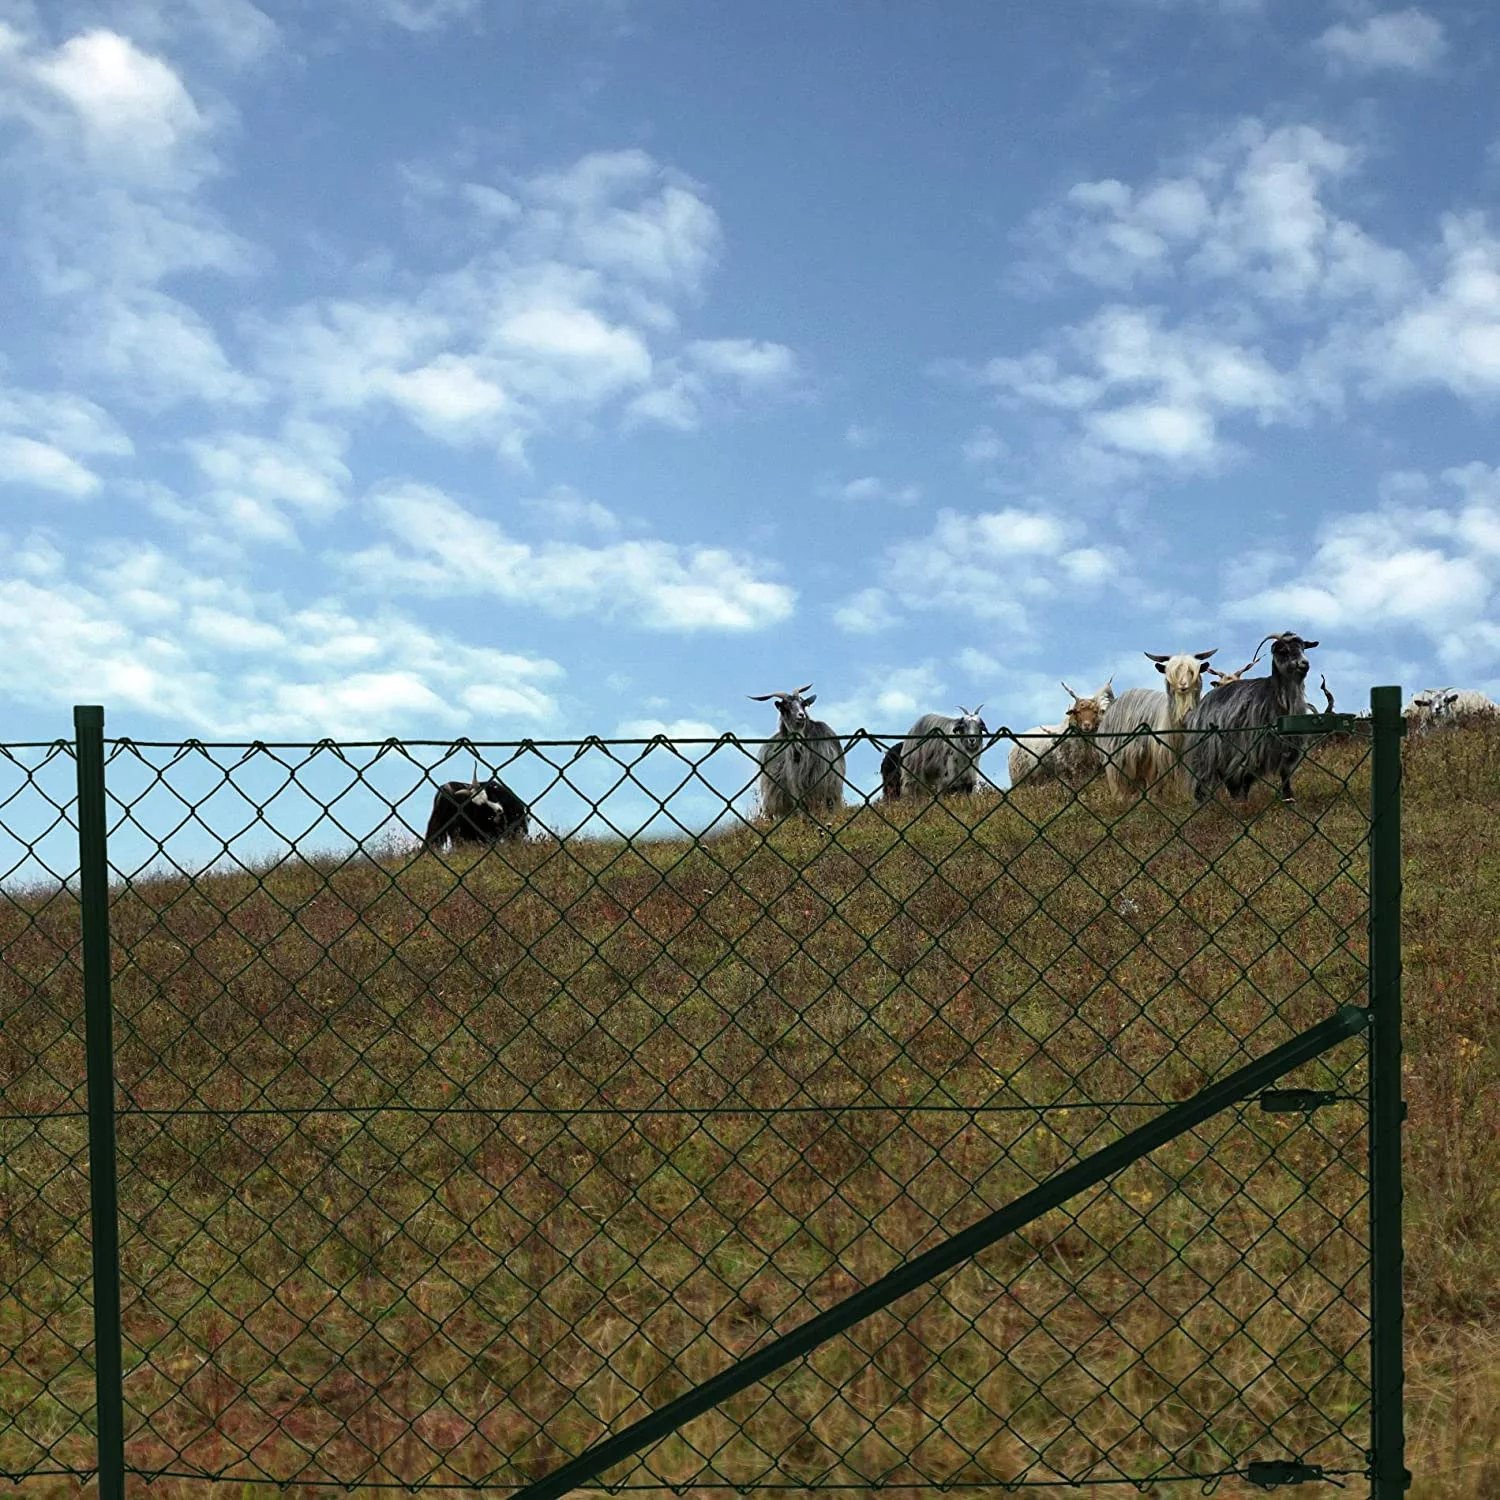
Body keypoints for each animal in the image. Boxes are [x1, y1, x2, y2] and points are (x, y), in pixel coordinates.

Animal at [1098, 651, 1224, 804]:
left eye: (1192, 671)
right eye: (1171, 673)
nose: (1183, 686)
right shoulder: (1157, 756)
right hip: (1116, 753)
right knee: (1115, 777)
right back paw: (1120, 799)